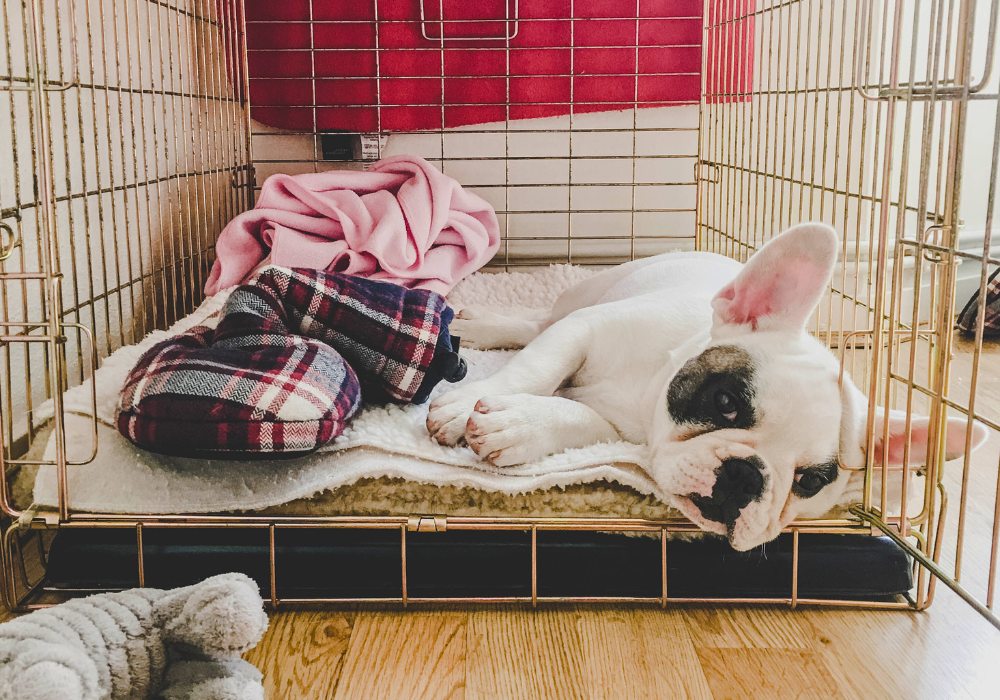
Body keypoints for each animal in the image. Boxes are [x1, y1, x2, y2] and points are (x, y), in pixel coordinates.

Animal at [426, 221, 988, 548]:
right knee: (537, 324)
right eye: (725, 401)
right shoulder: (583, 330)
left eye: (810, 482)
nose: (745, 476)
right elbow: (536, 366)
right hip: (584, 296)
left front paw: (518, 426)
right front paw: (461, 406)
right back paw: (481, 326)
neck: (647, 395)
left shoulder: (616, 429)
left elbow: (577, 418)